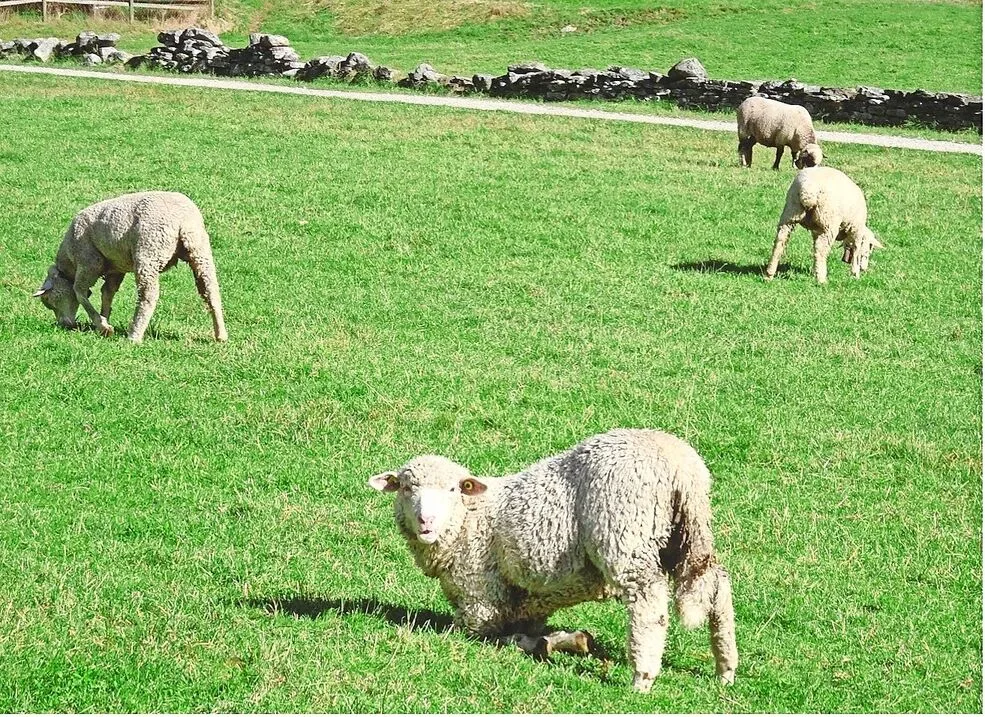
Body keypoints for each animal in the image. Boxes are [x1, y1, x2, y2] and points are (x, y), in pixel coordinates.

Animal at [33, 191, 227, 343]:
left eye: (50, 300)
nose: (65, 325)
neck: (69, 264)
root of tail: (182, 220)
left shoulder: (89, 262)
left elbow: (79, 292)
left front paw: (102, 325)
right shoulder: (115, 269)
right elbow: (107, 293)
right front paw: (104, 319)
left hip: (148, 252)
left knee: (148, 295)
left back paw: (134, 335)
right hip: (200, 250)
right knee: (211, 290)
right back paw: (221, 335)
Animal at [367, 428, 738, 692]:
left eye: (452, 490)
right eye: (406, 488)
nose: (426, 522)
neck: (469, 519)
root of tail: (680, 464)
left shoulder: (480, 595)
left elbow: (473, 631)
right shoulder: (527, 599)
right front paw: (560, 641)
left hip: (625, 531)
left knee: (649, 603)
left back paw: (642, 677)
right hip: (688, 534)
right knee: (717, 585)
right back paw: (725, 668)